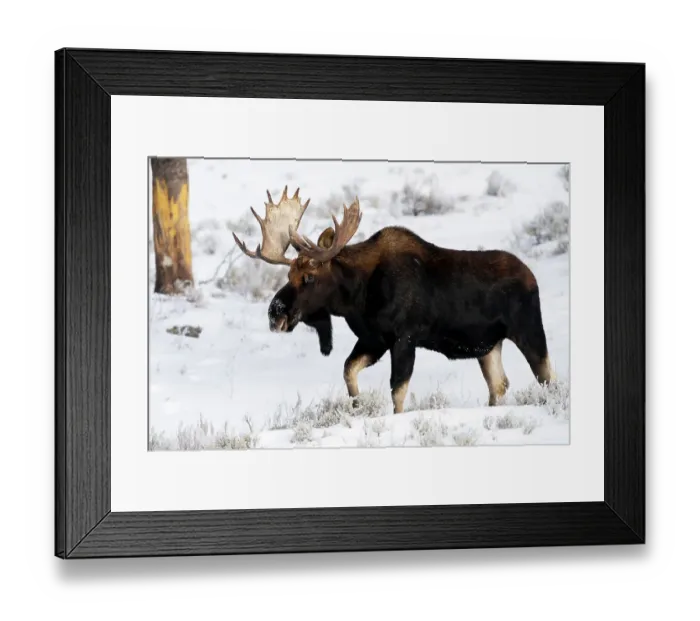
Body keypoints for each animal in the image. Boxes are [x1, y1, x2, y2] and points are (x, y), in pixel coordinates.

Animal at [231, 186, 556, 414]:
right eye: (288, 275)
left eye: (309, 277)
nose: (276, 313)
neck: (357, 296)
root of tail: (532, 278)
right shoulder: (375, 339)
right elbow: (349, 371)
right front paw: (358, 406)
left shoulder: (404, 338)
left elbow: (397, 392)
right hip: (488, 346)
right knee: (499, 385)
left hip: (528, 330)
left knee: (547, 376)